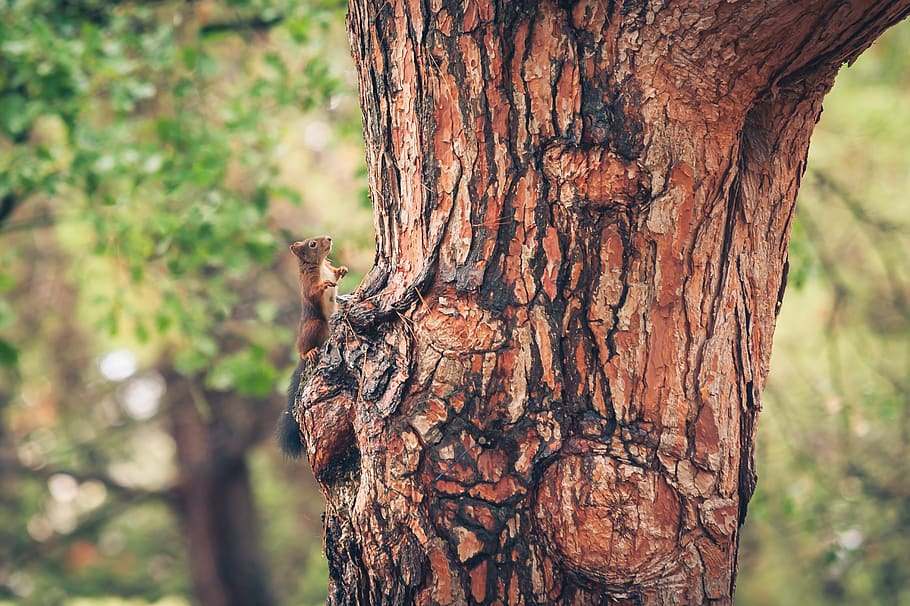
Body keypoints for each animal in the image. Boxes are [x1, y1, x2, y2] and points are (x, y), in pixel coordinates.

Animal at [278, 235, 347, 458]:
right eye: (312, 244)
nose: (329, 237)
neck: (320, 265)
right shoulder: (308, 282)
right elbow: (313, 292)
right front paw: (325, 283)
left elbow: (335, 274)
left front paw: (342, 269)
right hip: (314, 324)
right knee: (303, 348)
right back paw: (308, 352)